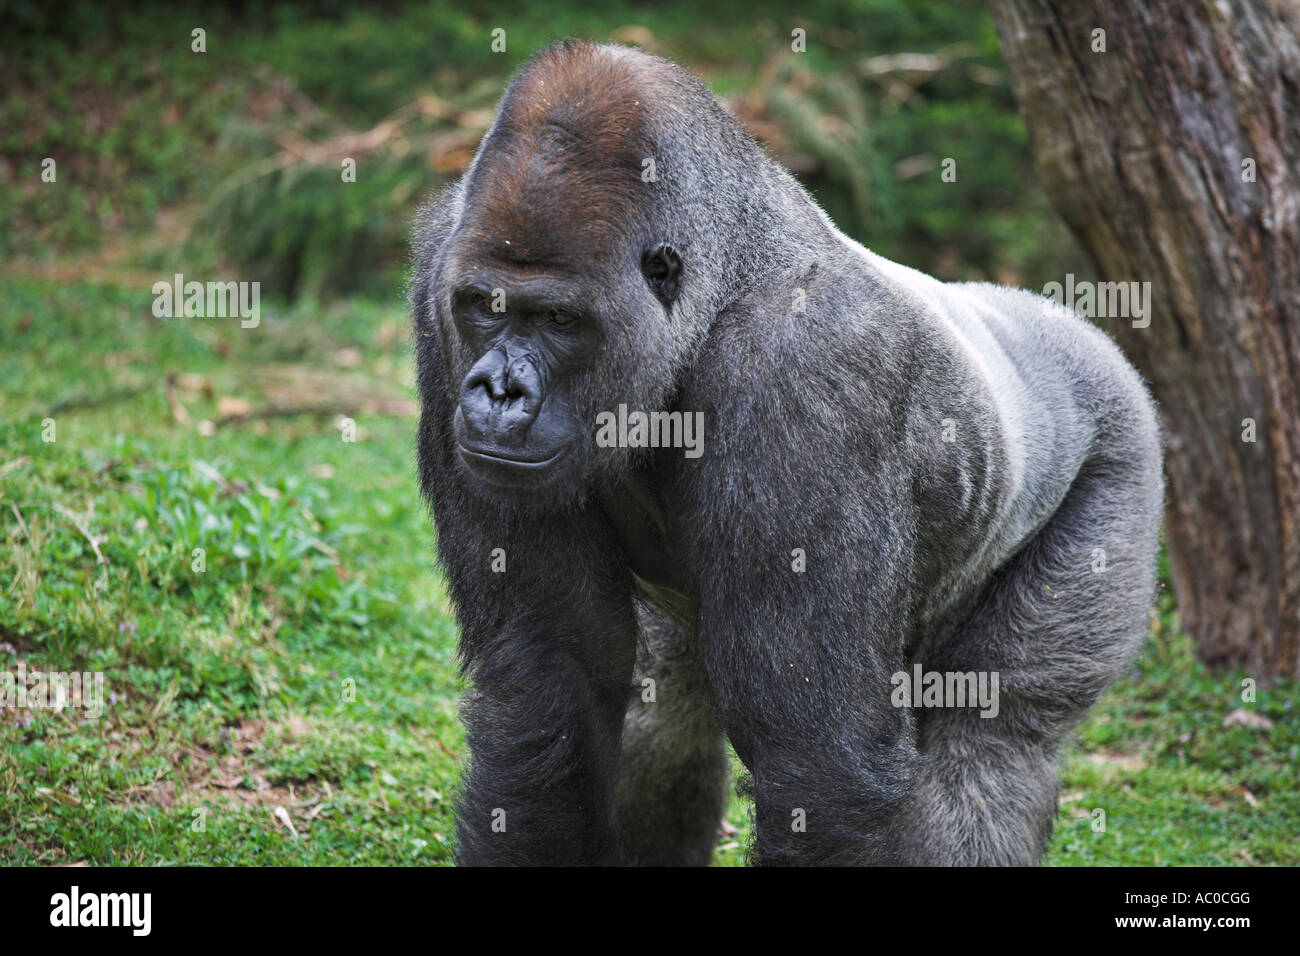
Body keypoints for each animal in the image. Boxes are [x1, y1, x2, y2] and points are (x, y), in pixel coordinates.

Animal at [410, 40, 1163, 865]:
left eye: (558, 320)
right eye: (484, 307)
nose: (498, 392)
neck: (724, 283)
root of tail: (1080, 329)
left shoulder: (801, 363)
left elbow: (818, 759)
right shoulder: (437, 288)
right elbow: (554, 683)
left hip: (1122, 451)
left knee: (994, 750)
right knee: (666, 706)